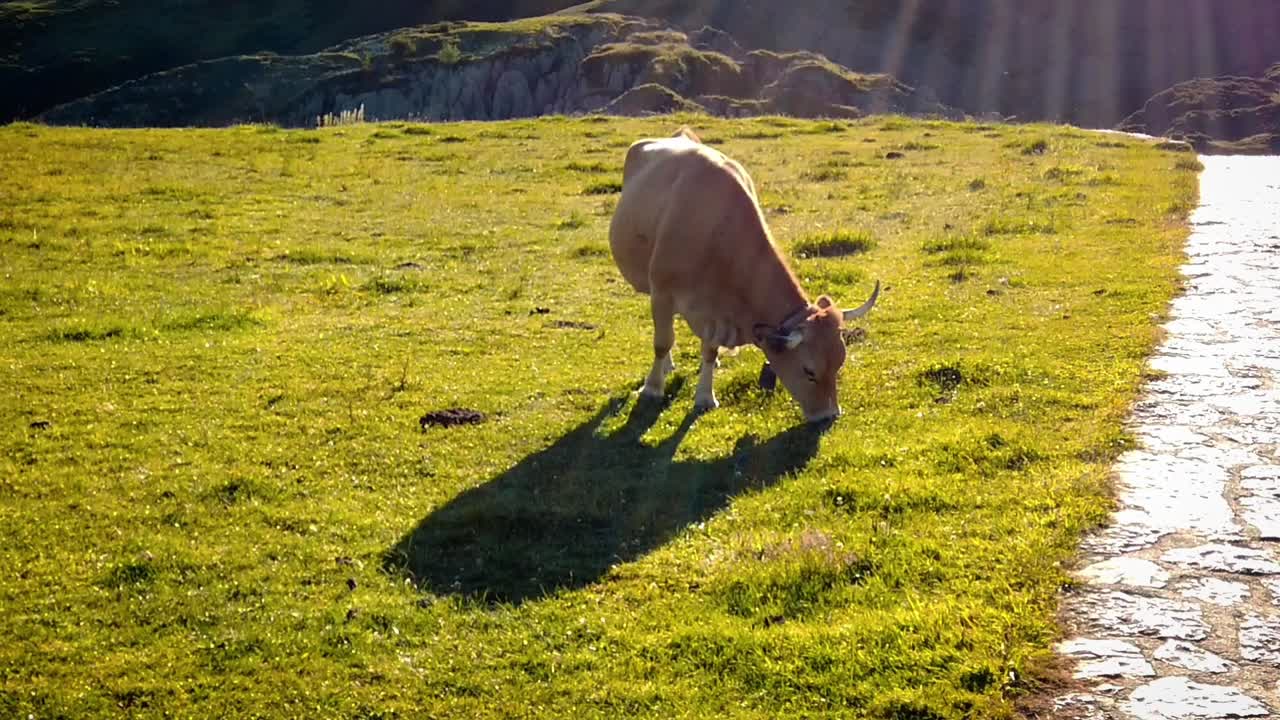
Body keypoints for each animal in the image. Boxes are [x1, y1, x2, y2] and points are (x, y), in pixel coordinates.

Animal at [608, 126, 880, 423]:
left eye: (839, 363)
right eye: (809, 371)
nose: (829, 416)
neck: (717, 231)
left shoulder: (715, 313)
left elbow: (709, 349)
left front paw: (705, 396)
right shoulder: (662, 293)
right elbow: (662, 342)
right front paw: (652, 388)